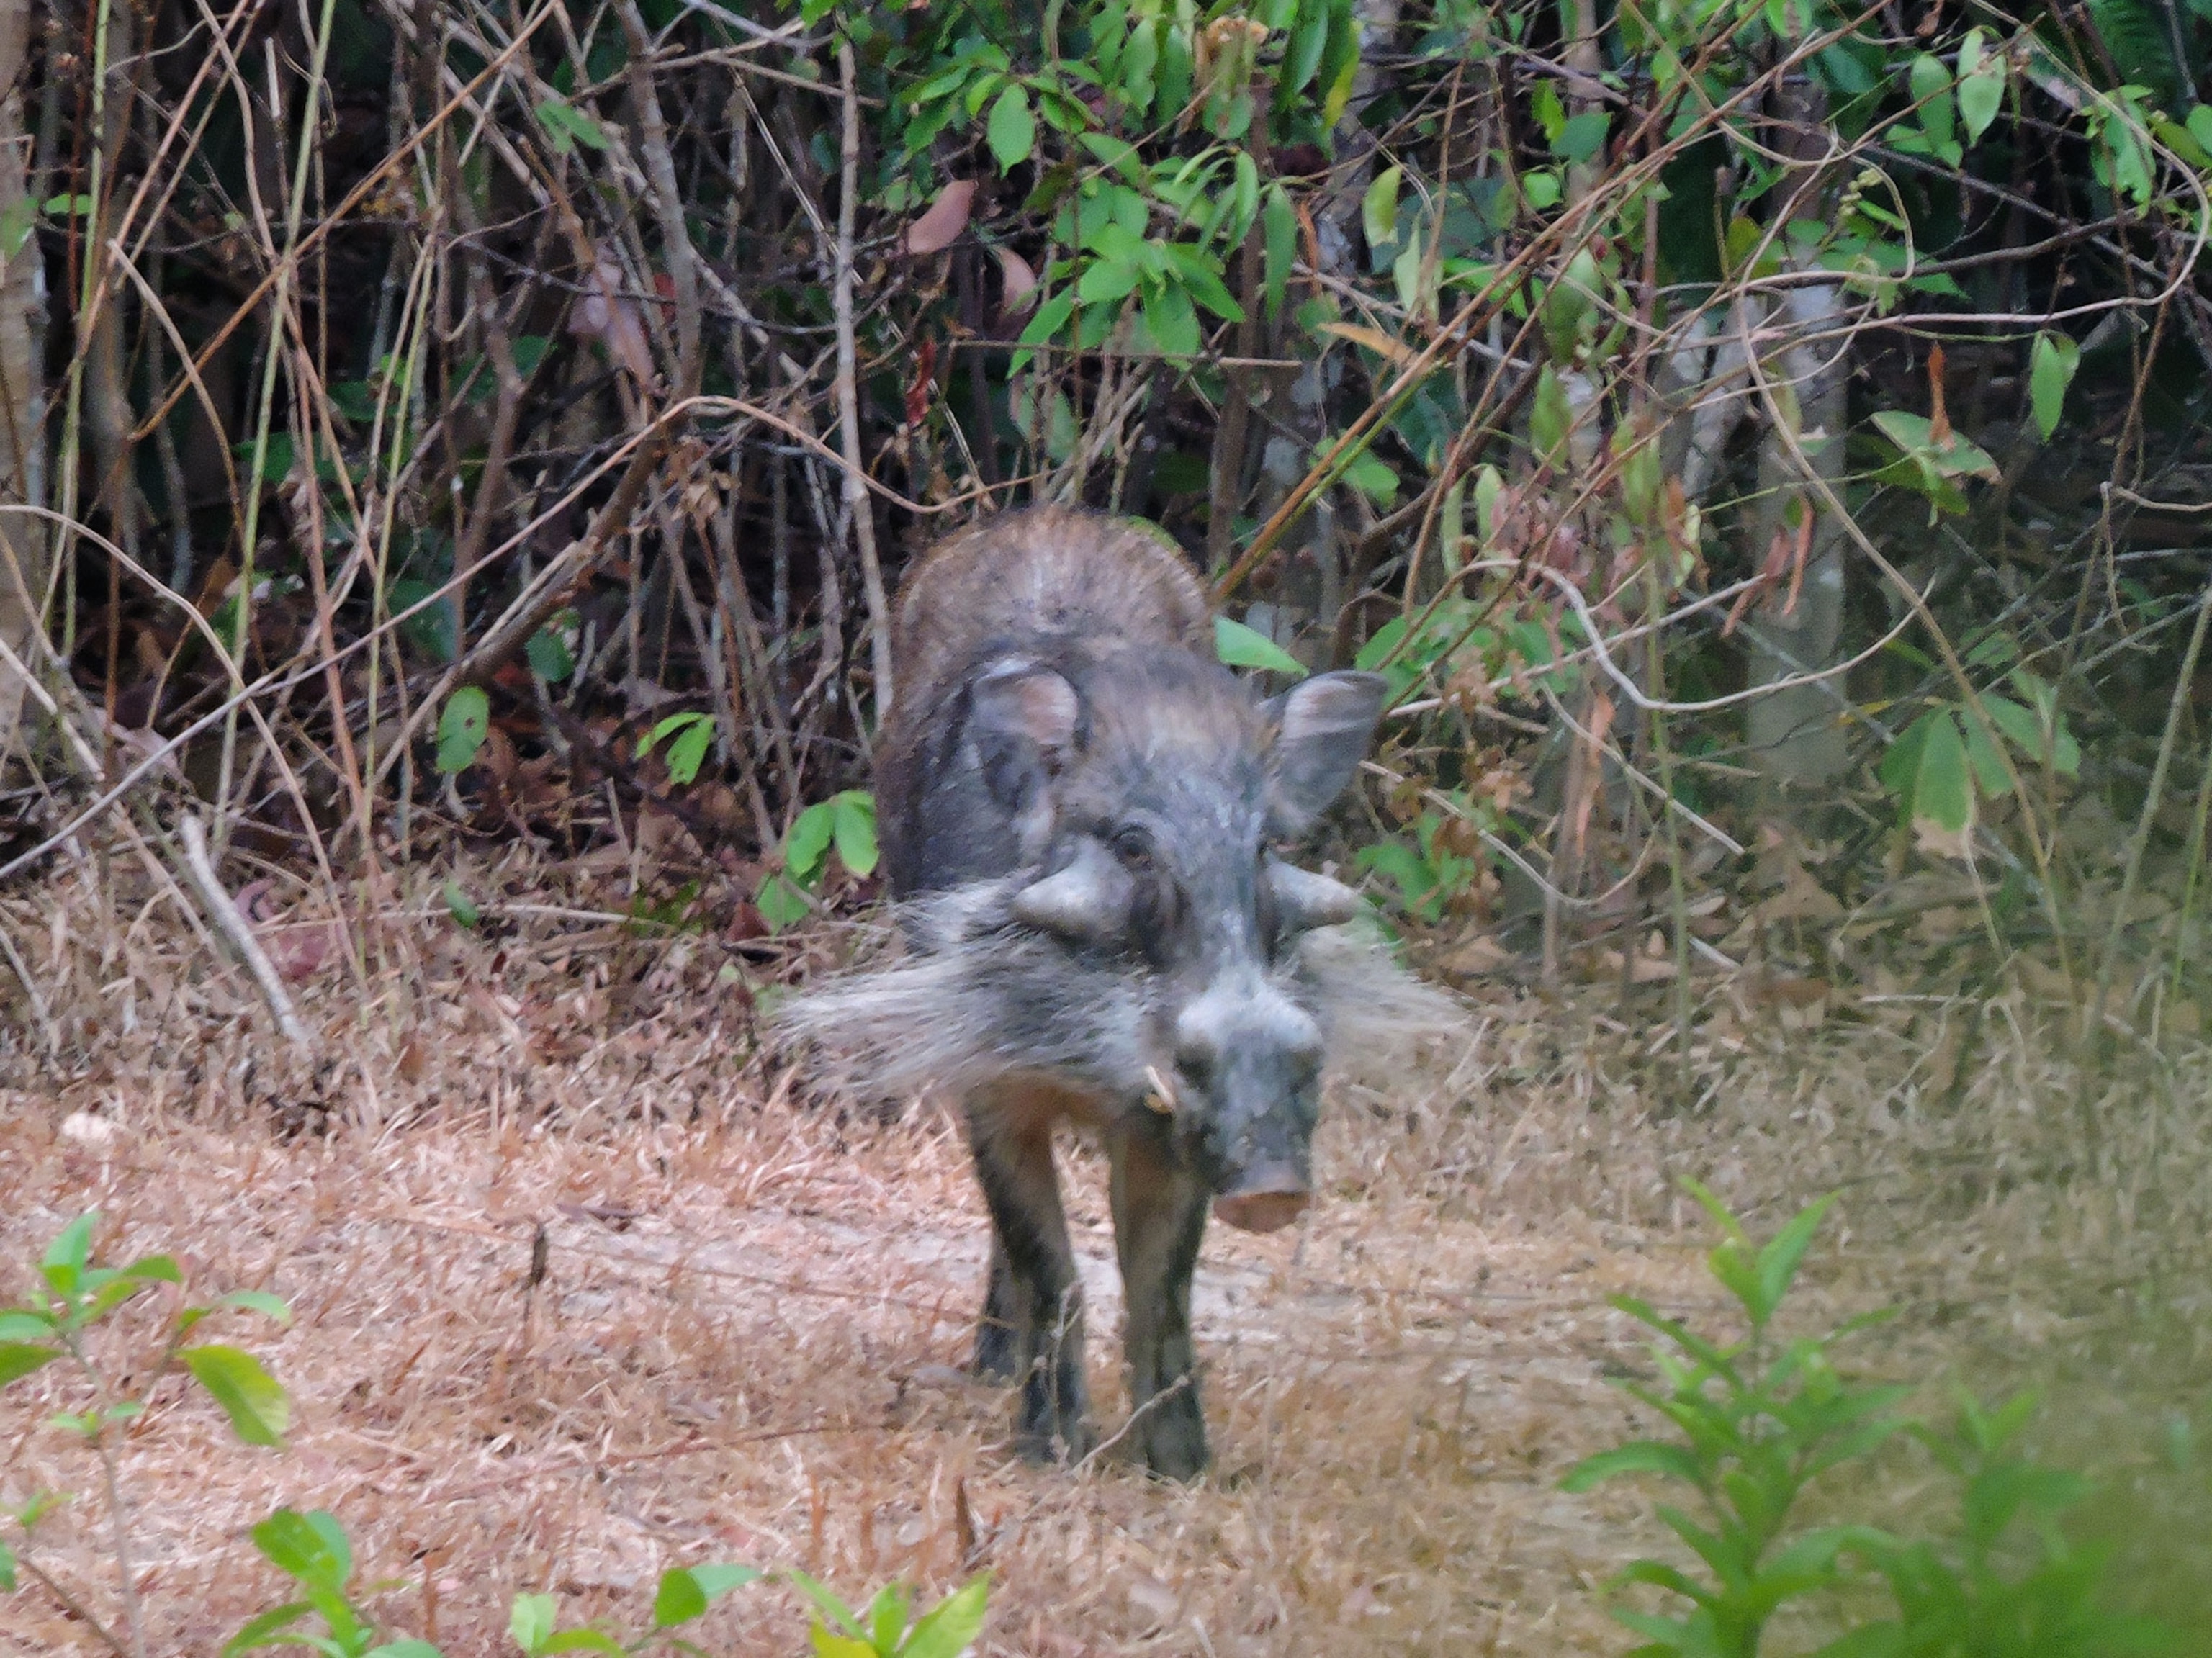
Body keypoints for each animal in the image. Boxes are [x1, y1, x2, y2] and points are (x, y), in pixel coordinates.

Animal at [779, 506, 1462, 1480]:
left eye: (1263, 846)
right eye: (1133, 847)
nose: (1275, 1187)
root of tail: (1050, 514)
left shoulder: (1171, 1128)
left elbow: (1162, 1283)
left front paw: (1180, 1465)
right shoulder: (993, 1085)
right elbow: (1048, 1259)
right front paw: (1050, 1447)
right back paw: (991, 1366)